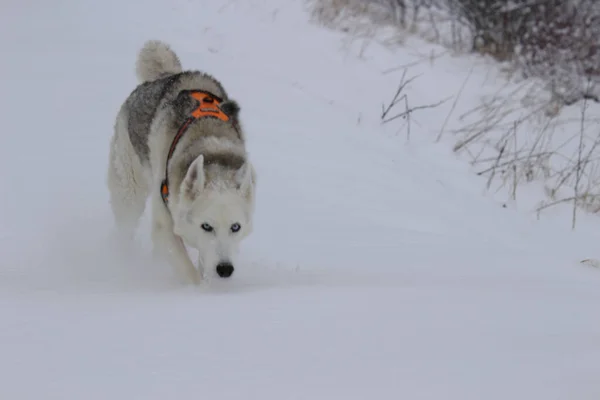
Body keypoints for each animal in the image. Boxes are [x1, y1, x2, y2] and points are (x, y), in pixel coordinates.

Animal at [107, 39, 255, 284]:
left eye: (236, 227)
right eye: (206, 226)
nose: (225, 270)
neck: (208, 141)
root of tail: (166, 76)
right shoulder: (164, 225)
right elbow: (189, 271)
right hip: (129, 193)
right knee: (125, 227)